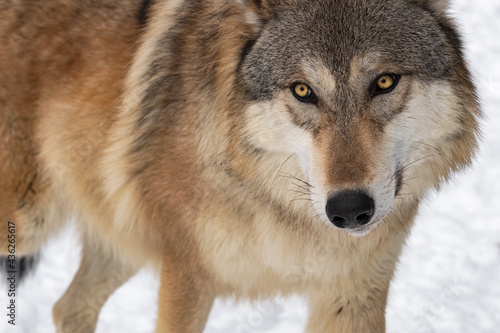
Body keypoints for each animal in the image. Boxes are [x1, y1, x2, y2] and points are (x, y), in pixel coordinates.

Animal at [0, 0, 480, 330]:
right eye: (302, 90)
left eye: (384, 81)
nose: (348, 210)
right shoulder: (187, 278)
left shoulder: (353, 293)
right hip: (31, 224)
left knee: (67, 306)